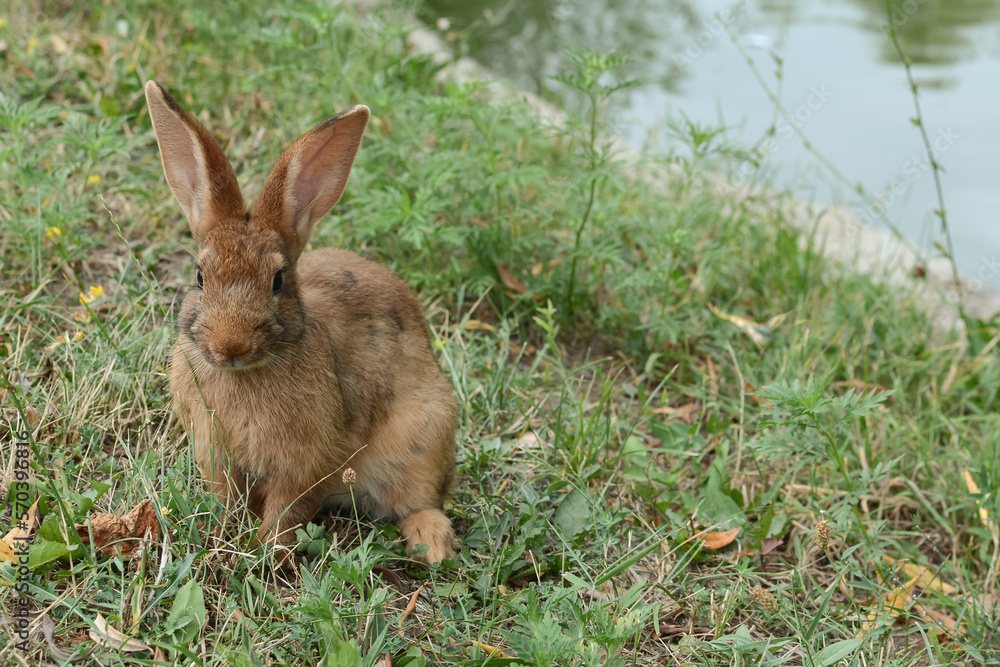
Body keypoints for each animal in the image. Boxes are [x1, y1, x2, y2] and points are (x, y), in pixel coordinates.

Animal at [145, 80, 459, 564]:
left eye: (278, 280)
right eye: (199, 276)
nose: (229, 346)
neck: (249, 373)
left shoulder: (309, 465)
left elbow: (288, 510)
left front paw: (266, 551)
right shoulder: (215, 453)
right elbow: (226, 496)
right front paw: (226, 532)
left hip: (424, 438)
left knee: (418, 501)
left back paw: (434, 545)